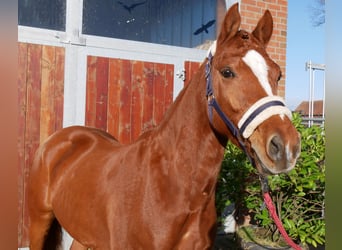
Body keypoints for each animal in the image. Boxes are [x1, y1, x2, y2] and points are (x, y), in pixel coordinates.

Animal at [27, 2, 300, 249]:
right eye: (227, 72)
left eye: (277, 74)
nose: (286, 146)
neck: (172, 187)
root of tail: (61, 139)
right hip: (39, 222)